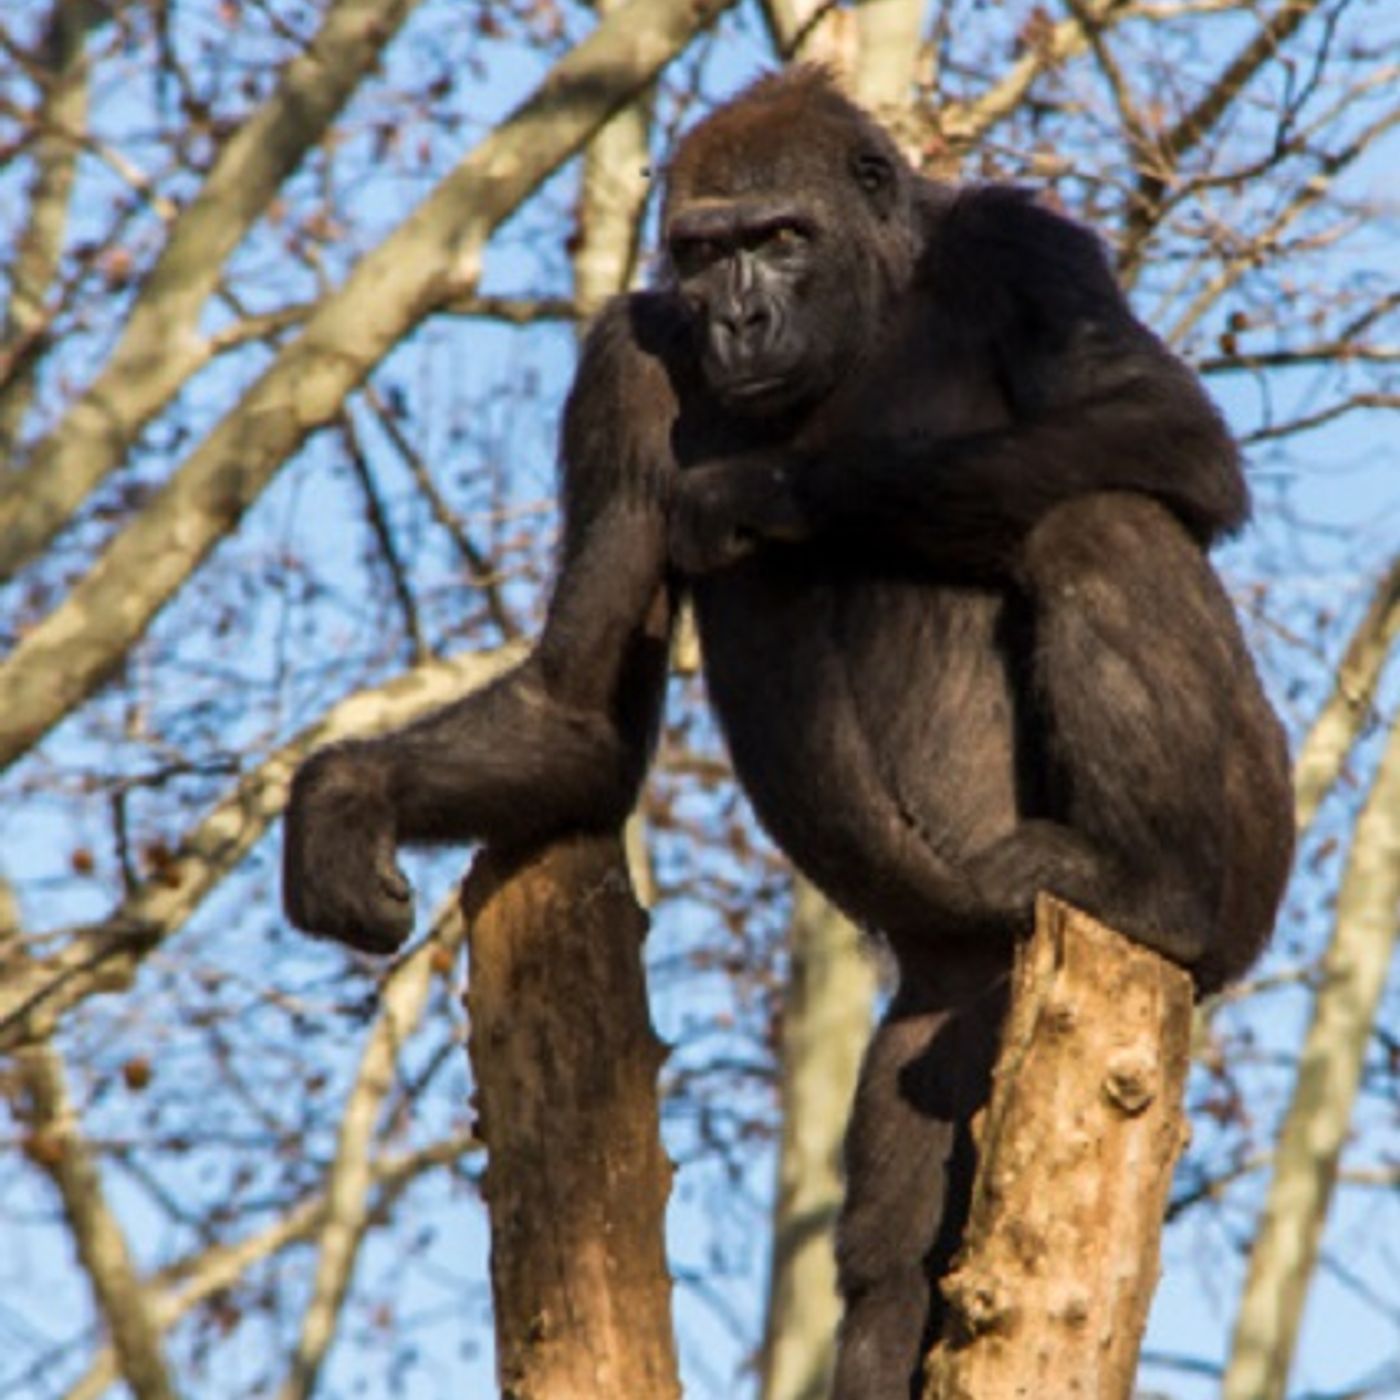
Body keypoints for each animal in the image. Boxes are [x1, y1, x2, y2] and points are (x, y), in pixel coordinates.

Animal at [283, 68, 1293, 1398]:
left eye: (779, 239)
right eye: (705, 254)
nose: (740, 317)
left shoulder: (1027, 246)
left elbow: (1156, 425)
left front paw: (763, 494)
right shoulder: (623, 370)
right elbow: (575, 711)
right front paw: (347, 798)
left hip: (1249, 873)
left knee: (1101, 520)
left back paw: (1153, 883)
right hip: (953, 1004)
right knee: (894, 1252)